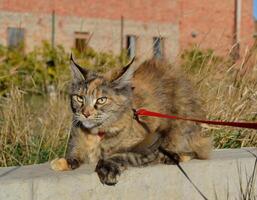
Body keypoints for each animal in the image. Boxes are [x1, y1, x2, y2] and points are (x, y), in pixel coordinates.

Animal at [51, 55, 211, 185]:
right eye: (79, 98)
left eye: (101, 100)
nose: (86, 113)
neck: (96, 134)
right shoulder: (76, 143)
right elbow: (74, 154)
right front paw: (63, 162)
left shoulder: (148, 147)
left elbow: (120, 155)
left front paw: (107, 168)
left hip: (182, 123)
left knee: (196, 149)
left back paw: (174, 156)